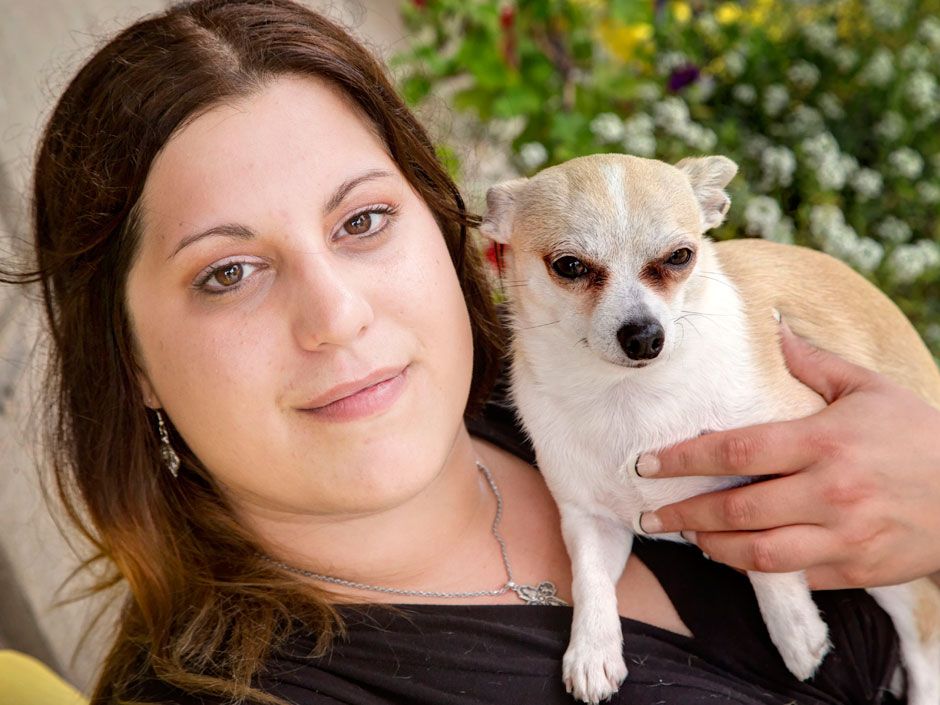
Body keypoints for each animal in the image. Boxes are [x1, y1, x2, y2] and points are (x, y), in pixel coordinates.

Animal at [482, 154, 940, 704]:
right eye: (569, 266)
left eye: (681, 256)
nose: (645, 335)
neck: (629, 398)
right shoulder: (591, 520)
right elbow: (590, 580)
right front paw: (592, 651)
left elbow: (763, 545)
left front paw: (795, 630)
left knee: (925, 627)